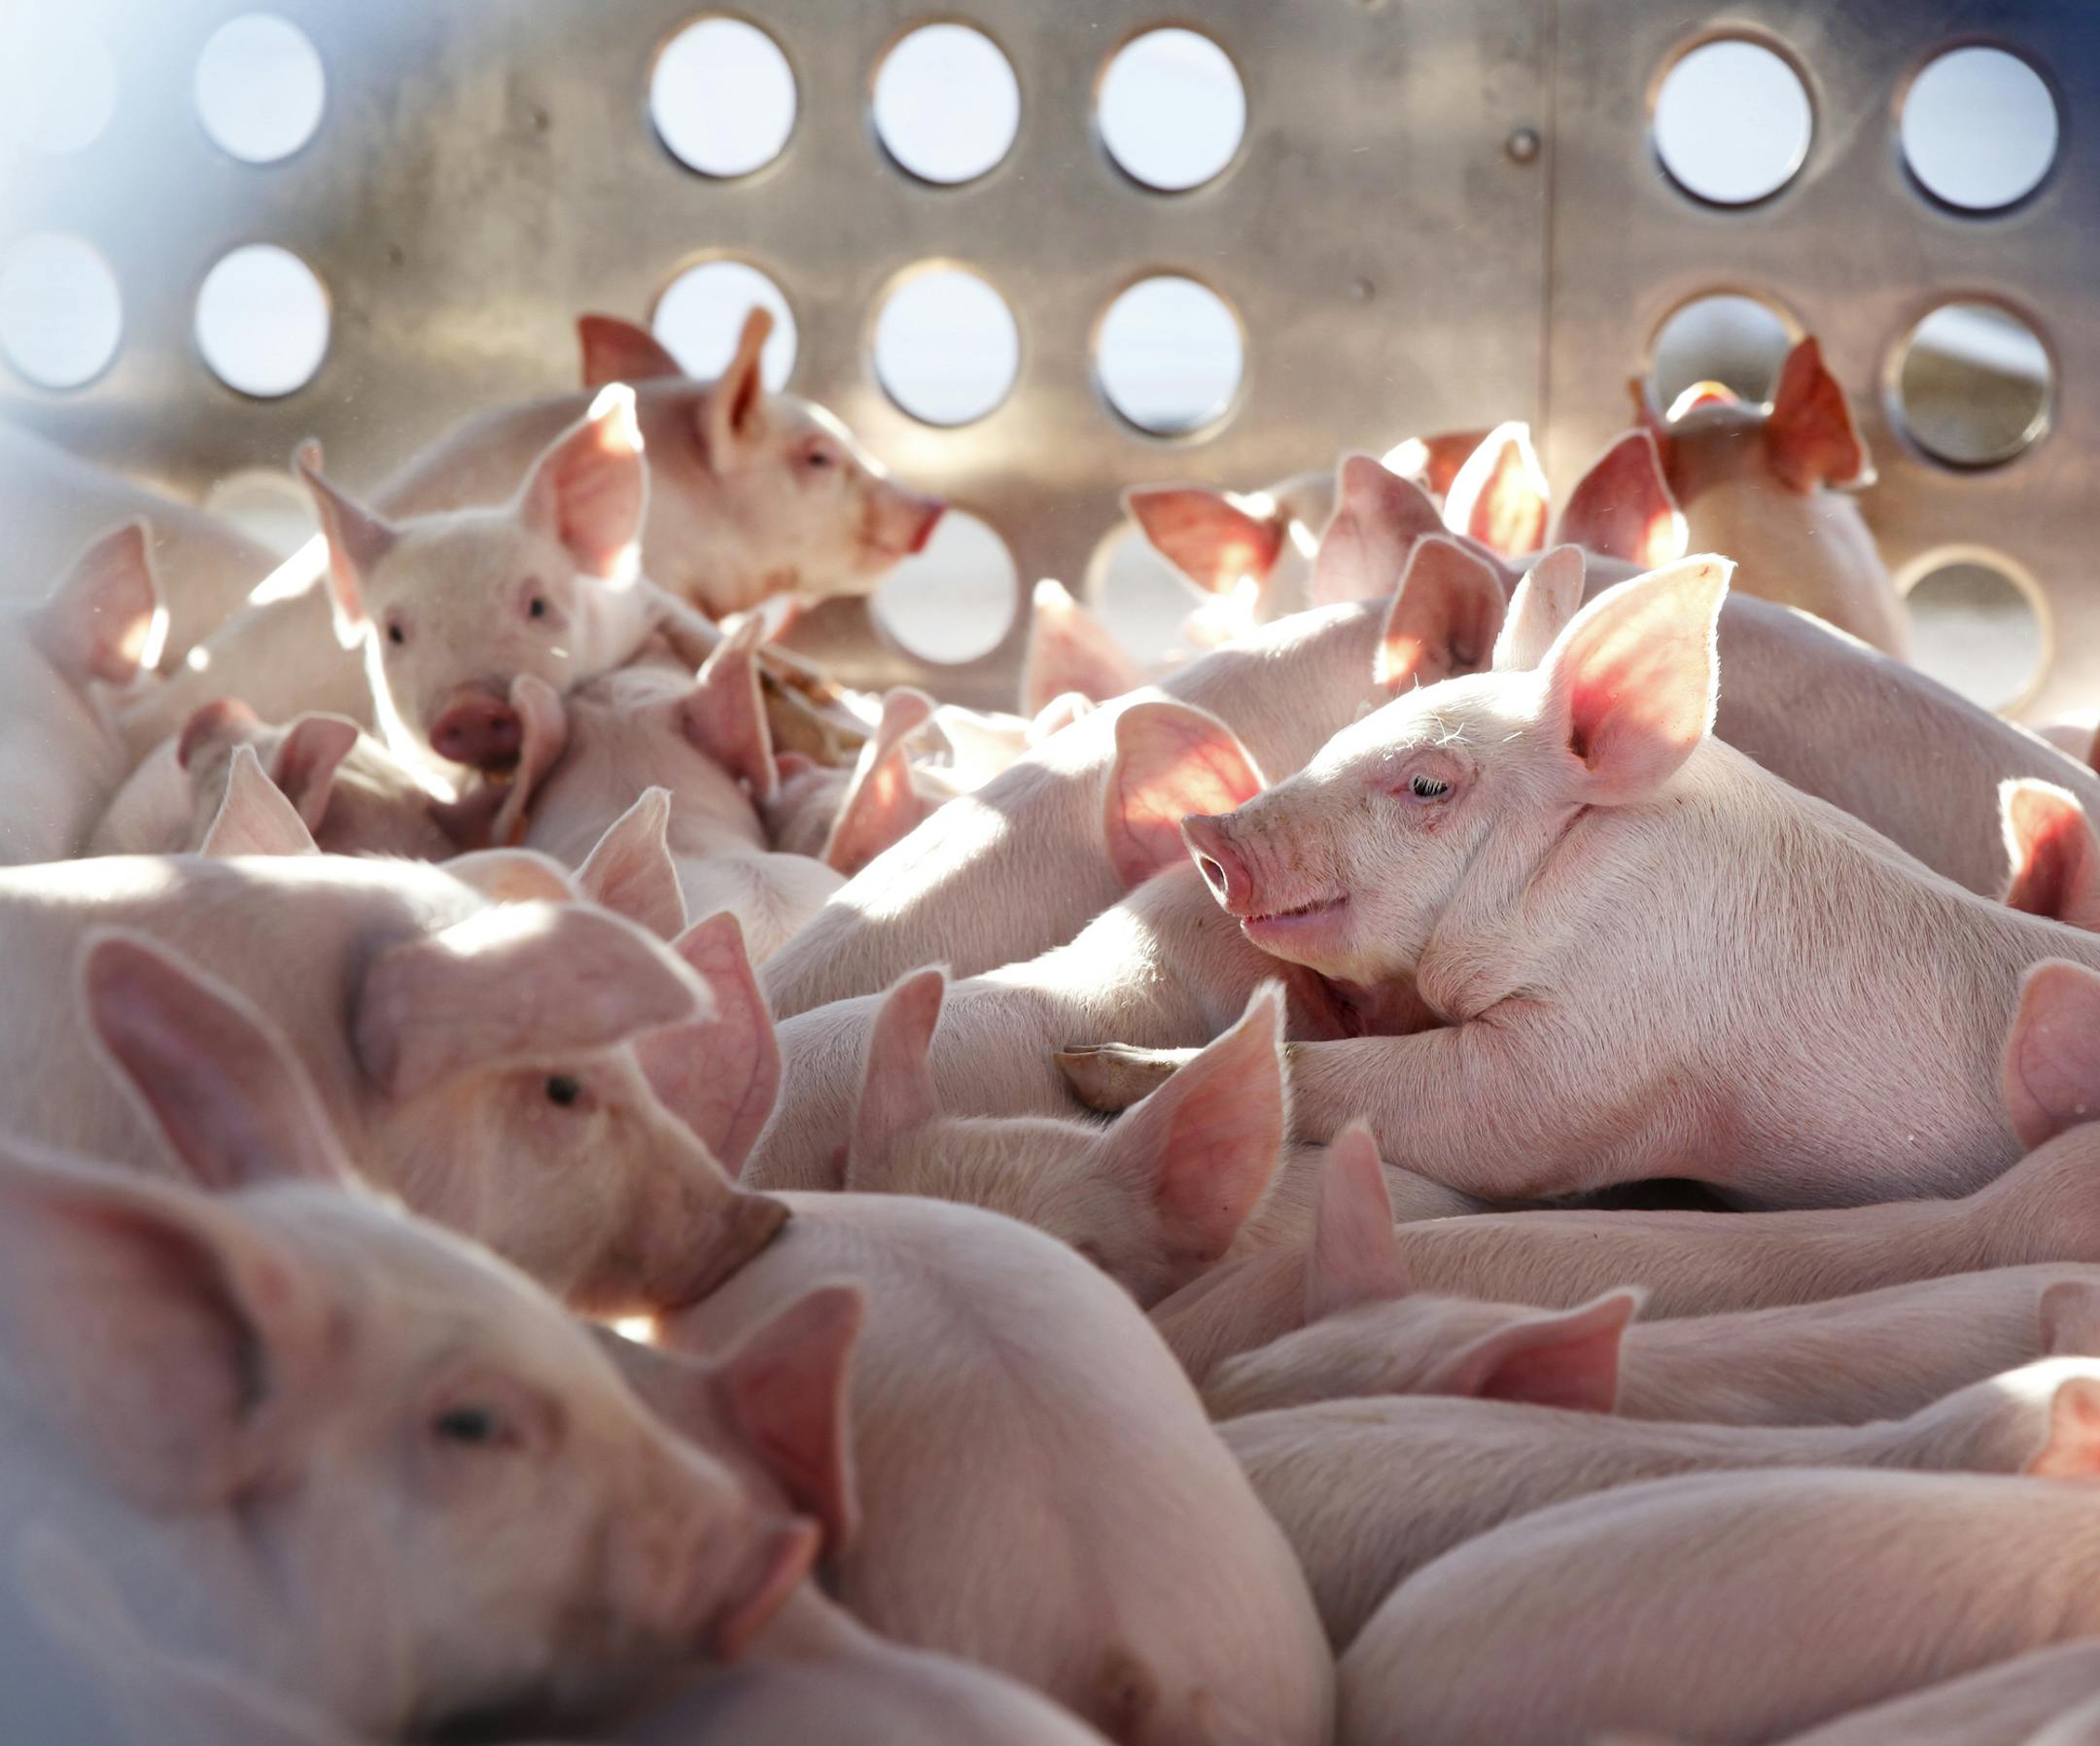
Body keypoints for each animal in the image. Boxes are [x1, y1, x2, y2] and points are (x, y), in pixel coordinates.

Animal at [1167, 557, 2100, 1205]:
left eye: (1428, 784)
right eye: (1350, 727)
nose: (1207, 831)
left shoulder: (1592, 1058)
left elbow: (1451, 1114)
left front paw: (1136, 1064)